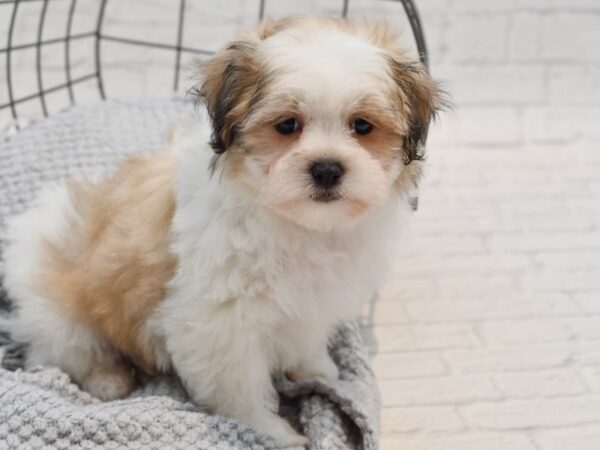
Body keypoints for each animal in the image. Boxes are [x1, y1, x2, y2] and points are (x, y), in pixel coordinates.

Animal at [2, 16, 442, 446]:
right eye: (287, 125)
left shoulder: (315, 299)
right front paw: (270, 432)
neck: (295, 223)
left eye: (362, 126)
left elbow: (307, 336)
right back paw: (108, 379)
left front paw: (317, 369)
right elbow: (240, 387)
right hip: (61, 313)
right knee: (67, 351)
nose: (328, 168)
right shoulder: (220, 326)